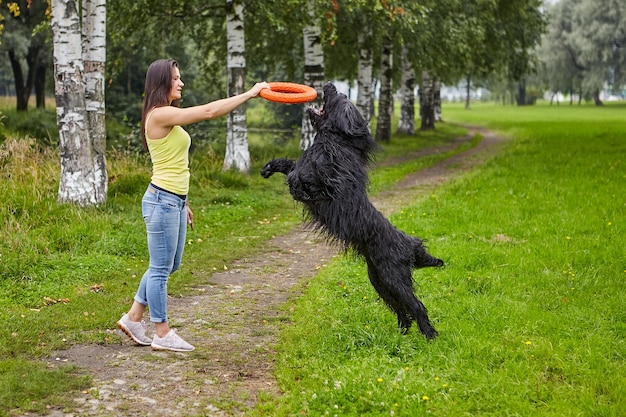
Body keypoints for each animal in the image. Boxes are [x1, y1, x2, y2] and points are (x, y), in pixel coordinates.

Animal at [260, 82, 442, 338]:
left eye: (339, 96)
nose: (330, 85)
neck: (333, 142)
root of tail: (412, 244)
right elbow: (289, 165)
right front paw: (268, 167)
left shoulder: (316, 186)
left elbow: (300, 177)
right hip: (379, 280)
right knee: (402, 310)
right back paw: (400, 334)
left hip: (393, 277)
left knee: (417, 306)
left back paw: (430, 336)